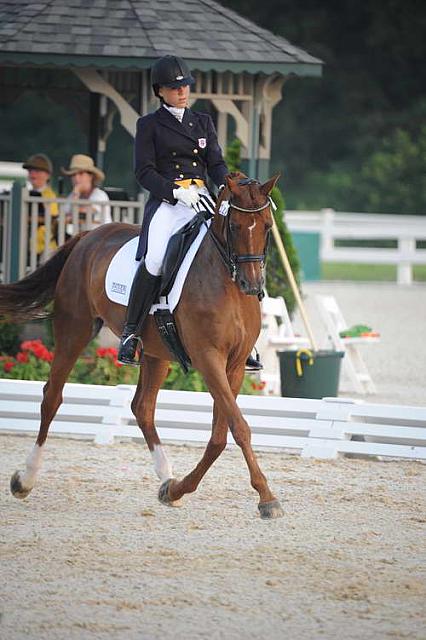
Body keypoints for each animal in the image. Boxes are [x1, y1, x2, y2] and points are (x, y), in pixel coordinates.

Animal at [3, 172, 284, 516]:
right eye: (234, 226)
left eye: (267, 226)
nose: (252, 285)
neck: (225, 282)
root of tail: (88, 235)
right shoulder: (208, 359)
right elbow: (239, 427)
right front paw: (267, 498)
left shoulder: (235, 365)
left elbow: (221, 433)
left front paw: (178, 489)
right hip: (74, 330)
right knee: (51, 397)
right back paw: (25, 479)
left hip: (155, 351)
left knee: (142, 407)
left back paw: (166, 478)